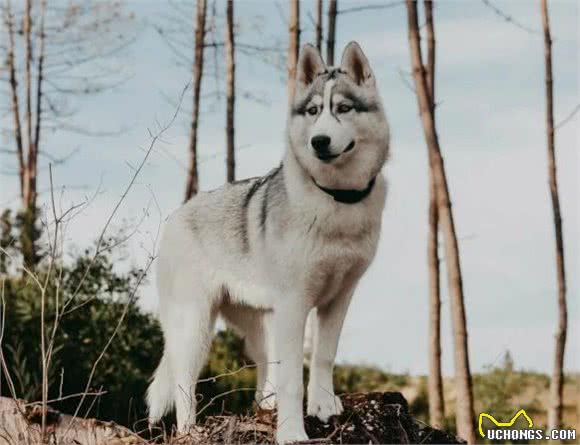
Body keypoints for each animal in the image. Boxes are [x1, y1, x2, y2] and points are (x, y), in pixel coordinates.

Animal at [147, 40, 388, 440]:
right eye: (313, 111)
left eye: (342, 108)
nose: (319, 141)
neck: (336, 200)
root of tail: (176, 215)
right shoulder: (295, 303)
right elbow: (293, 378)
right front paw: (292, 434)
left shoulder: (339, 298)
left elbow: (323, 357)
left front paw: (323, 406)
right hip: (196, 328)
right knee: (185, 386)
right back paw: (190, 431)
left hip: (260, 325)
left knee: (263, 375)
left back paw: (265, 408)